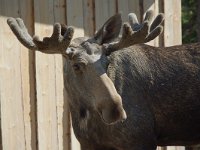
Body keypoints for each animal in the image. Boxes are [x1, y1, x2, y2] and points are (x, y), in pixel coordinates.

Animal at [6, 9, 200, 149]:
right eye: (77, 65)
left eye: (107, 62)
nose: (116, 109)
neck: (84, 115)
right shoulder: (88, 143)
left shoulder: (142, 139)